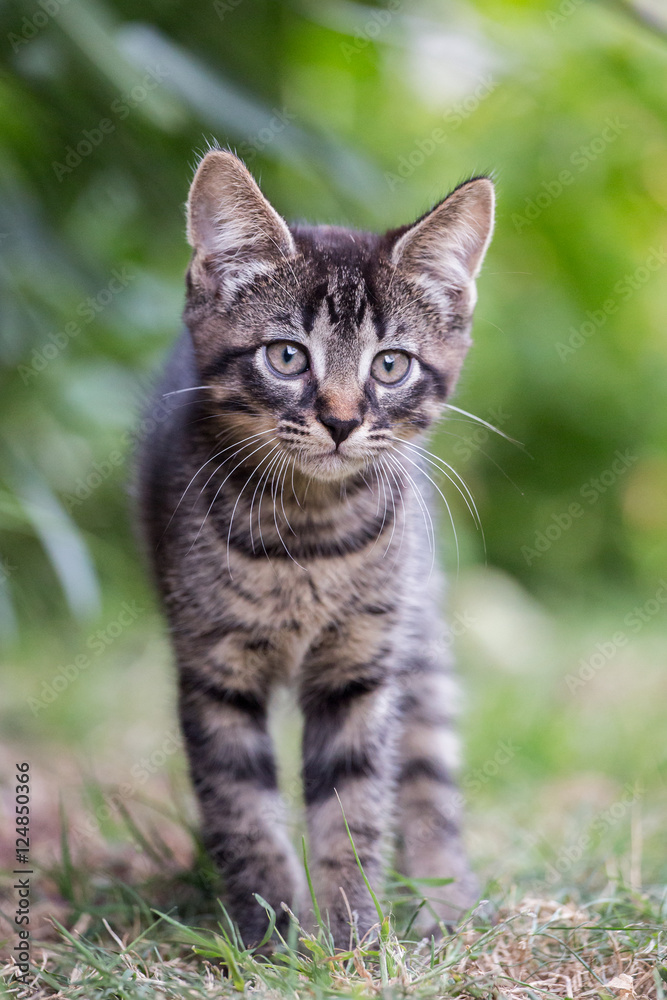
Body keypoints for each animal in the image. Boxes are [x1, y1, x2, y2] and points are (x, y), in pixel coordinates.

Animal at [138, 146, 496, 944]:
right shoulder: (213, 667)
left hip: (416, 622)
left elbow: (354, 803)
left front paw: (351, 935)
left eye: (389, 365)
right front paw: (271, 932)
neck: (310, 536)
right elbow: (241, 807)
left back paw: (444, 895)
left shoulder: (361, 667)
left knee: (426, 761)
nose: (338, 419)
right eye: (286, 357)